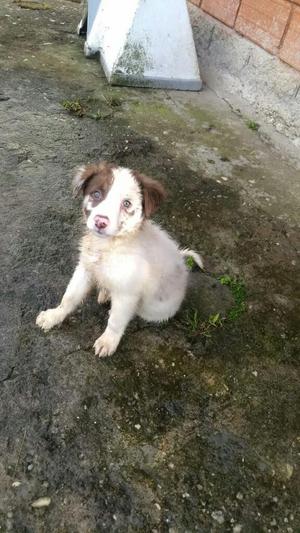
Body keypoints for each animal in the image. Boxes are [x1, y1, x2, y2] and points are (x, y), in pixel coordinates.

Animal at [36, 160, 203, 356]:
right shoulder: (85, 269)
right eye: (97, 194)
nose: (100, 222)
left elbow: (116, 320)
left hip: (154, 309)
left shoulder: (127, 293)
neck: (109, 247)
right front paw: (54, 316)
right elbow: (69, 297)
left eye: (127, 203)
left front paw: (108, 342)